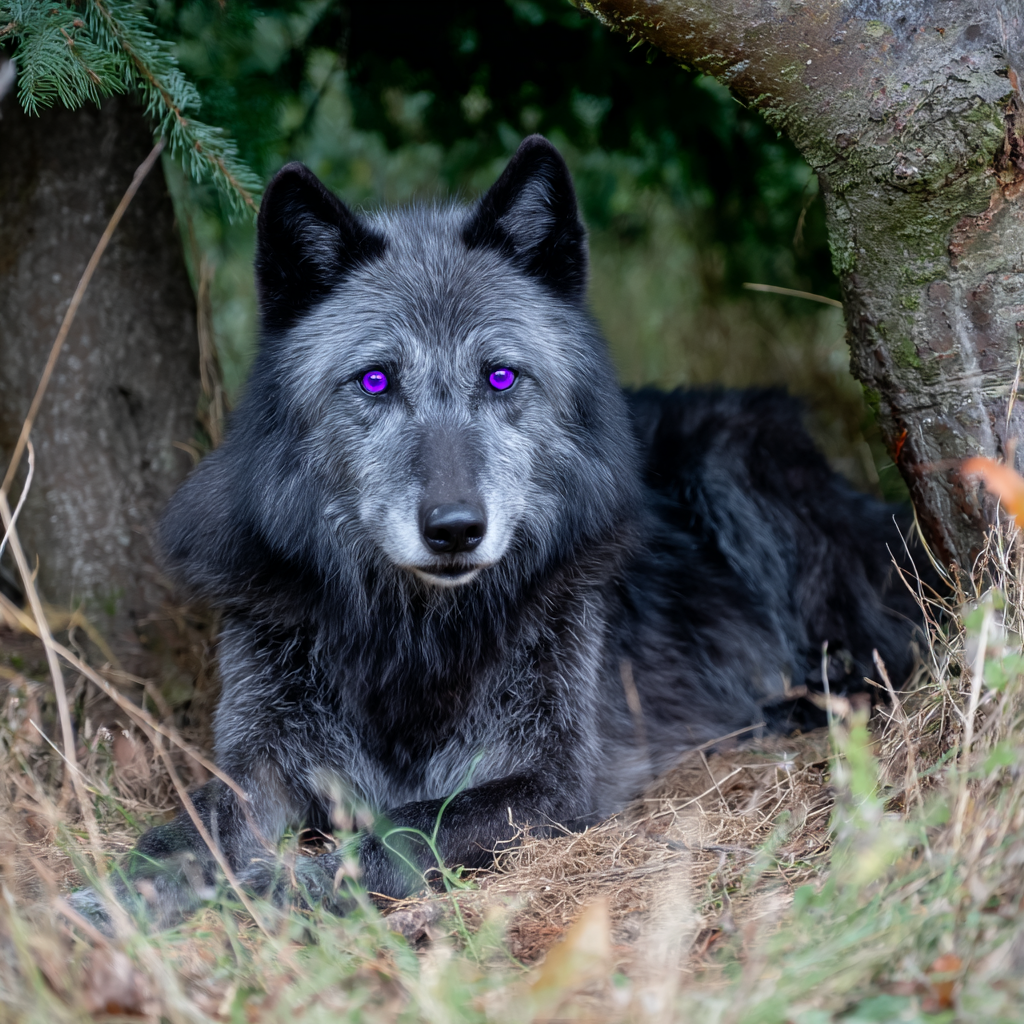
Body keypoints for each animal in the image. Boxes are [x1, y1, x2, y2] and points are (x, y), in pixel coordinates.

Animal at [75, 136, 923, 924]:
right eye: (375, 381)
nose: (454, 529)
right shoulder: (257, 761)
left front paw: (282, 887)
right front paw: (110, 901)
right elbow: (185, 824)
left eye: (501, 376)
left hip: (732, 463)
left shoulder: (554, 782)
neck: (415, 636)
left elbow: (405, 829)